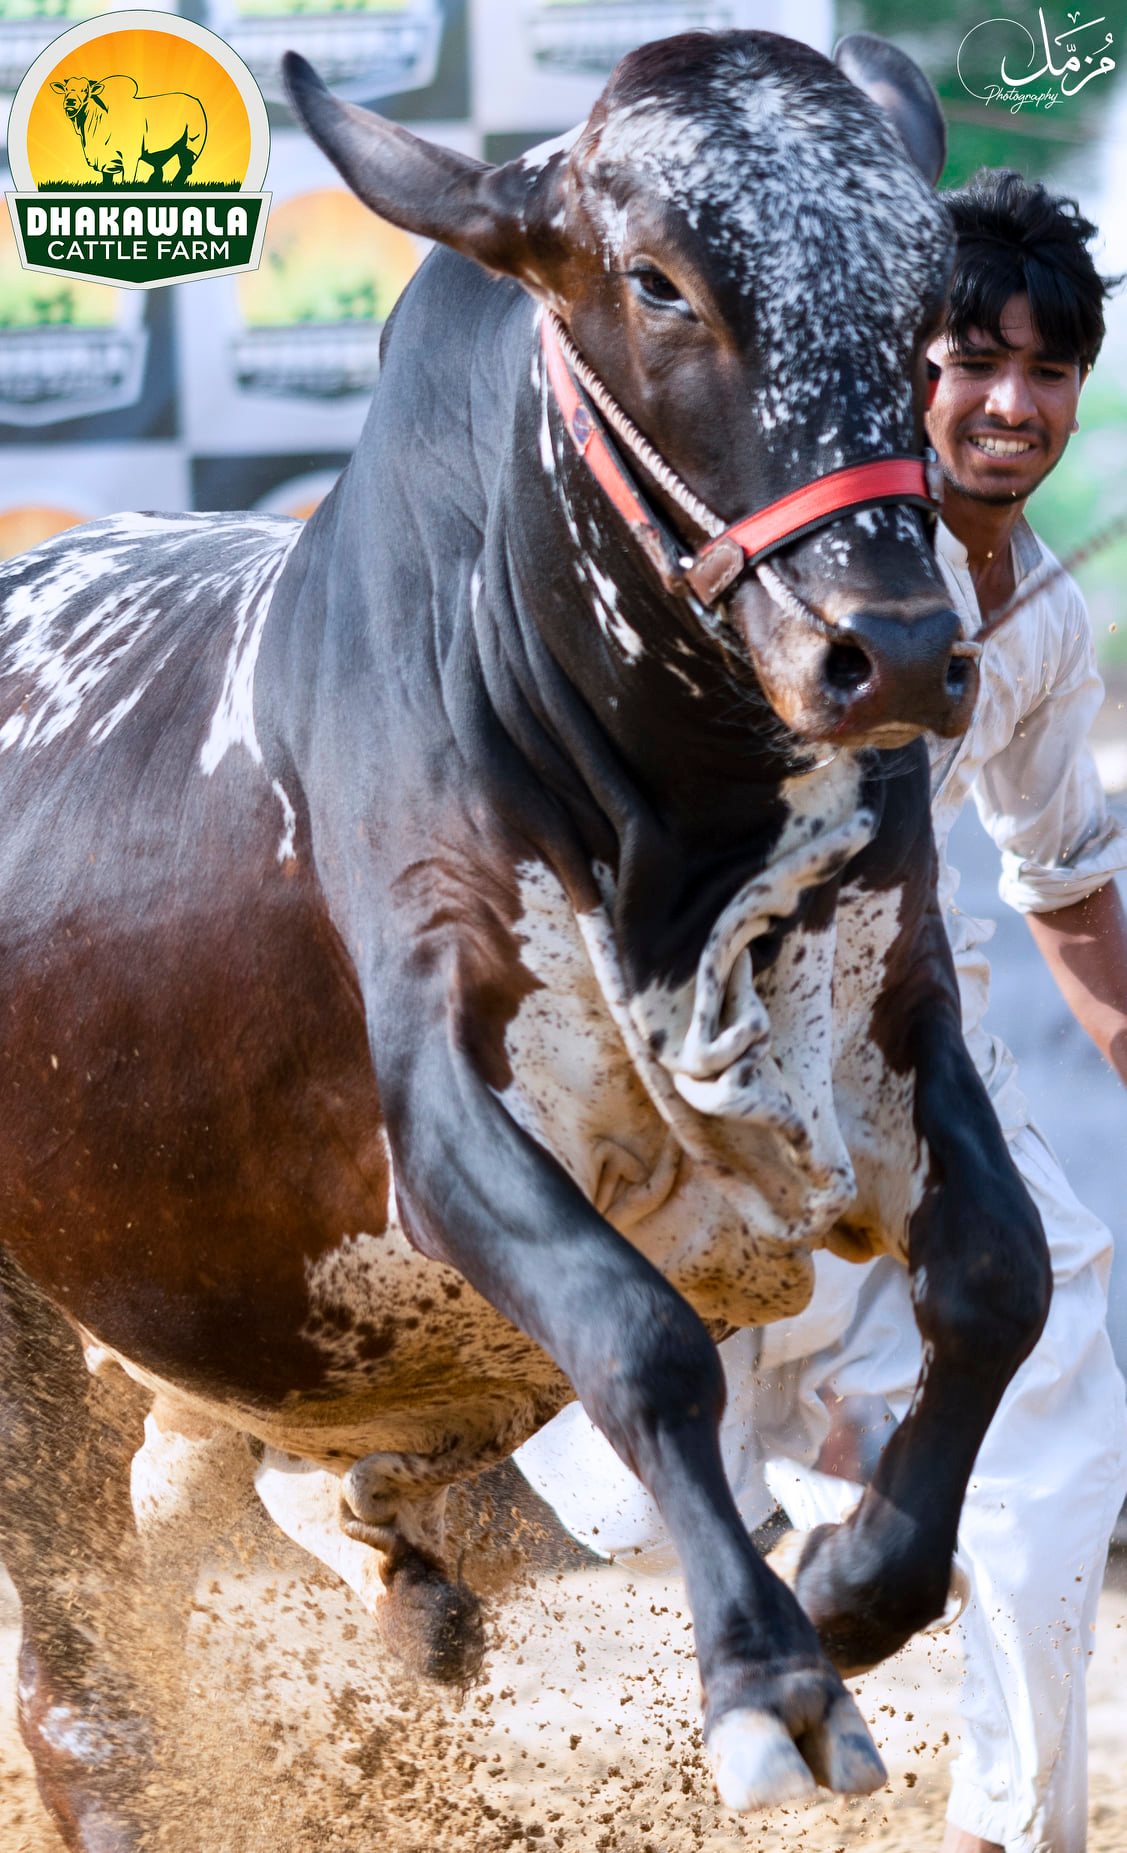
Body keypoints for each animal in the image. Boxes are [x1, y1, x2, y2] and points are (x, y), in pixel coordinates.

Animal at [50, 73, 207, 186]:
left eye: (86, 90)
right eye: (65, 89)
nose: (70, 102)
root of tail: (195, 100)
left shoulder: (130, 157)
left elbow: (128, 179)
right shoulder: (106, 162)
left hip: (191, 145)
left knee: (186, 168)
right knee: (160, 169)